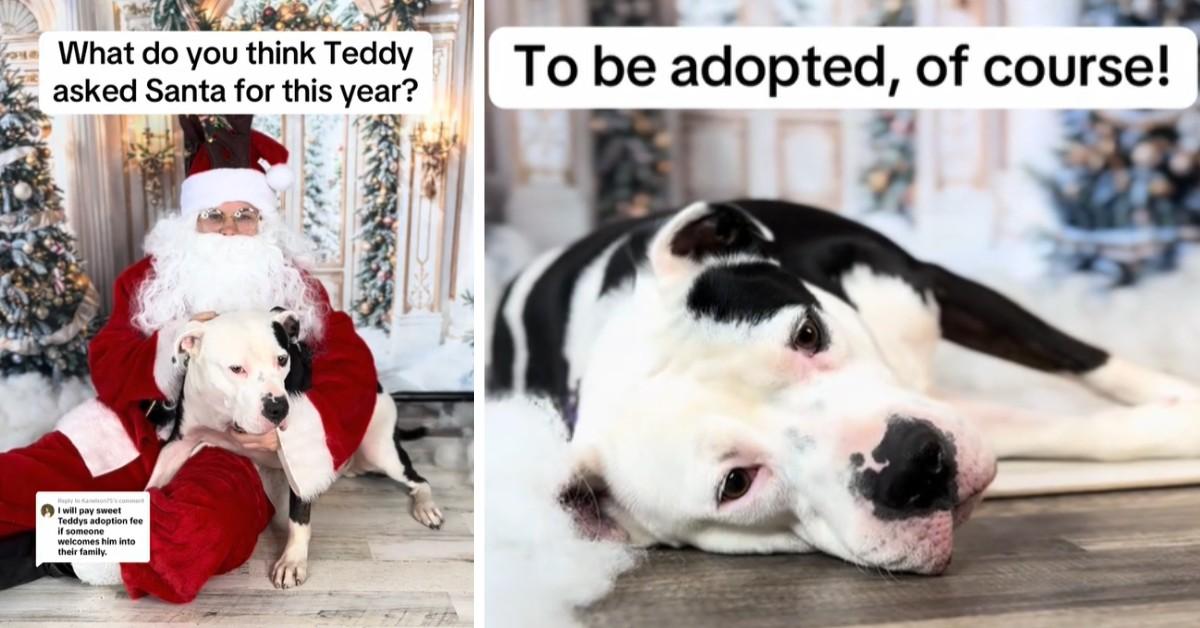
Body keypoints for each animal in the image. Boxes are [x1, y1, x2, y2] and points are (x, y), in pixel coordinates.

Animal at [147, 309, 444, 590]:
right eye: (236, 369)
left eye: (282, 360)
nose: (278, 407)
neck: (226, 415)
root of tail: (379, 387)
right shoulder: (178, 444)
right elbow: (153, 482)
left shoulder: (299, 454)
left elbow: (299, 518)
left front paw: (292, 561)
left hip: (381, 451)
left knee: (419, 480)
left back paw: (426, 507)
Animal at [487, 200, 1200, 573]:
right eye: (735, 483)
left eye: (808, 333)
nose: (909, 466)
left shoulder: (935, 287)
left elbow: (1087, 360)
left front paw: (1177, 402)